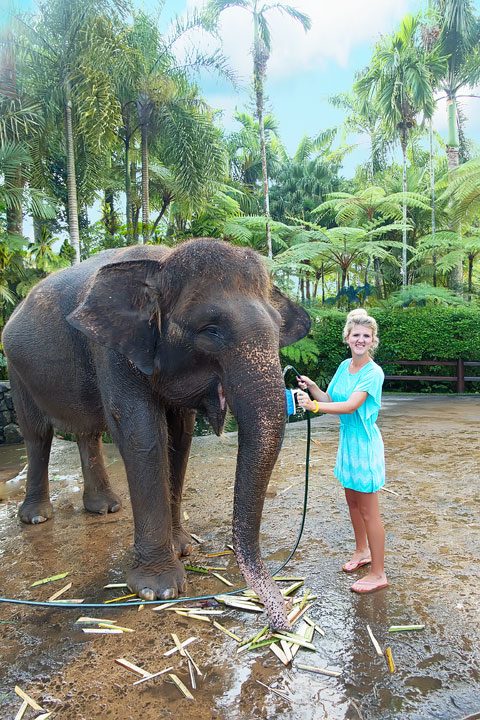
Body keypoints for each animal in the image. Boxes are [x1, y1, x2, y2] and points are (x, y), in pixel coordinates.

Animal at [2, 239, 312, 628]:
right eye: (211, 329)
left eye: (278, 326)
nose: (281, 619)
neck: (162, 261)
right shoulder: (112, 349)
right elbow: (142, 433)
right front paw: (157, 589)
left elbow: (179, 438)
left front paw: (182, 547)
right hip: (15, 368)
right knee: (37, 434)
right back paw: (36, 517)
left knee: (88, 432)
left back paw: (104, 508)